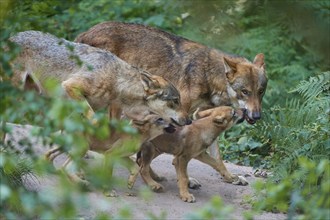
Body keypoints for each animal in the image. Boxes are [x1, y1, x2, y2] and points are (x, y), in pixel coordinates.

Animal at [75, 21, 268, 184]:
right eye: (245, 92)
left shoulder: (205, 114)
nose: (257, 116)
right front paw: (188, 181)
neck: (208, 75)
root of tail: (86, 32)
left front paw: (231, 178)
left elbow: (217, 157)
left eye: (260, 92)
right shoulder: (184, 114)